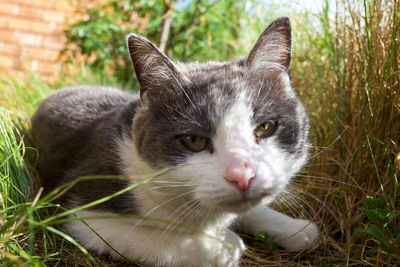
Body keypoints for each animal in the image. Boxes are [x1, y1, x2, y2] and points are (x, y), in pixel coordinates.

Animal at [31, 16, 318, 267]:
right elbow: (152, 240)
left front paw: (295, 228)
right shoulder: (79, 202)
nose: (242, 175)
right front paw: (222, 245)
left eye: (265, 127)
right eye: (193, 140)